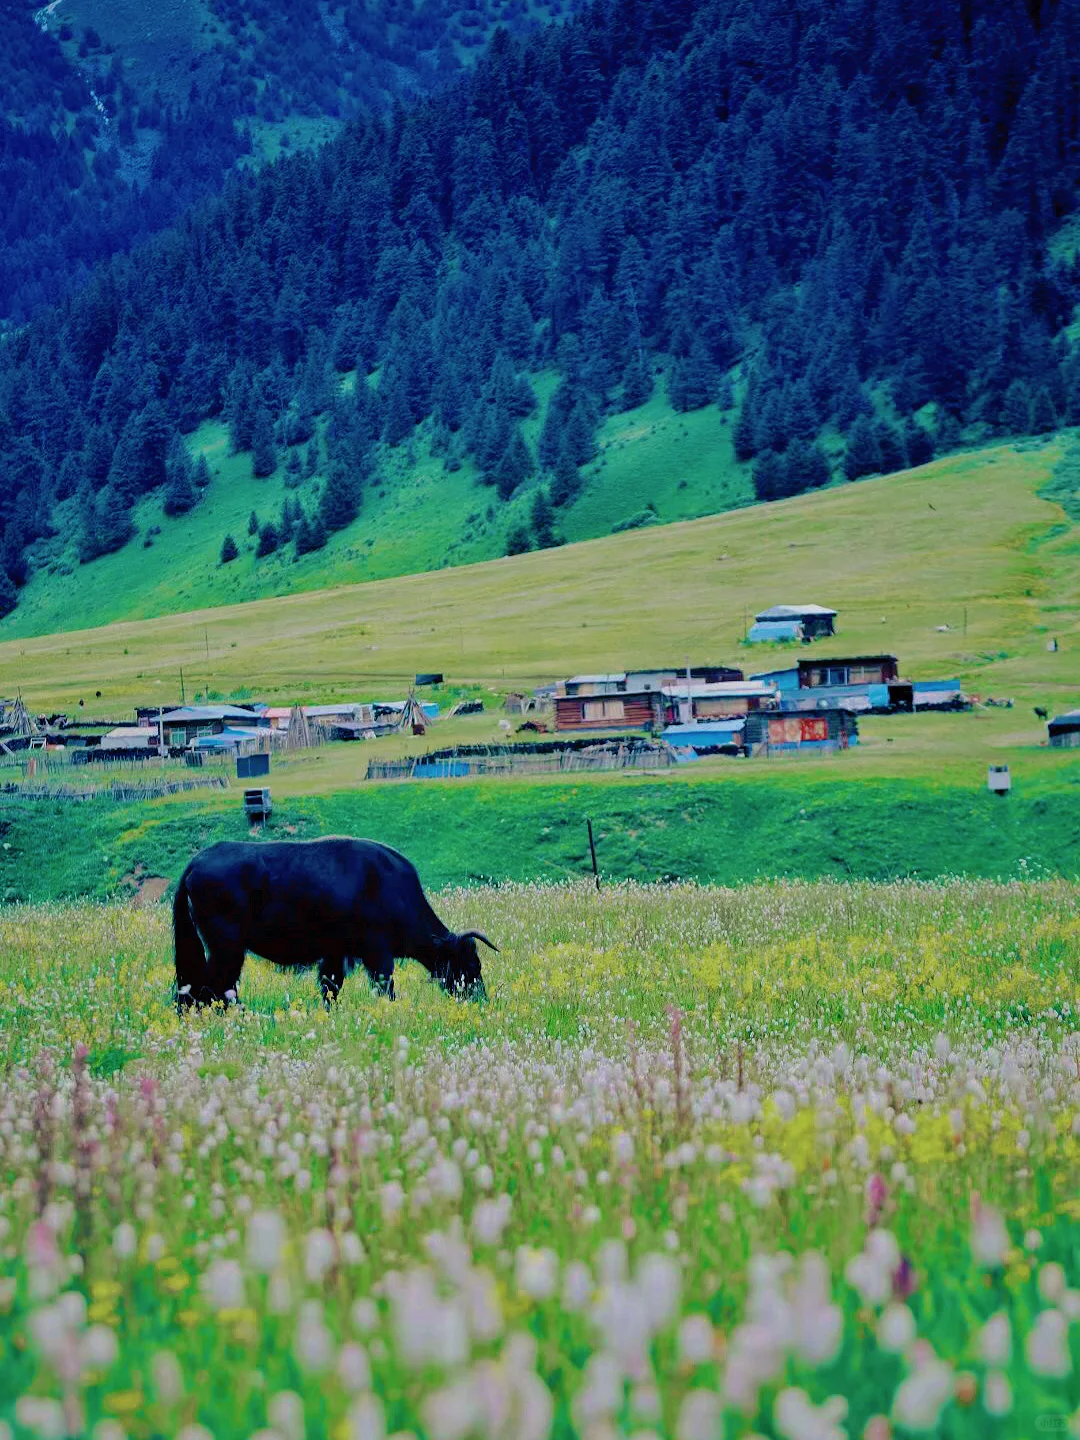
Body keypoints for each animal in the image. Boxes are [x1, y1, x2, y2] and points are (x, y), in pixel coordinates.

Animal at [173, 835, 498, 1013]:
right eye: (472, 965)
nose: (480, 999)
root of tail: (196, 862)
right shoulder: (377, 953)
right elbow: (384, 986)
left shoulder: (335, 954)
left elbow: (331, 987)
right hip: (227, 949)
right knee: (216, 987)